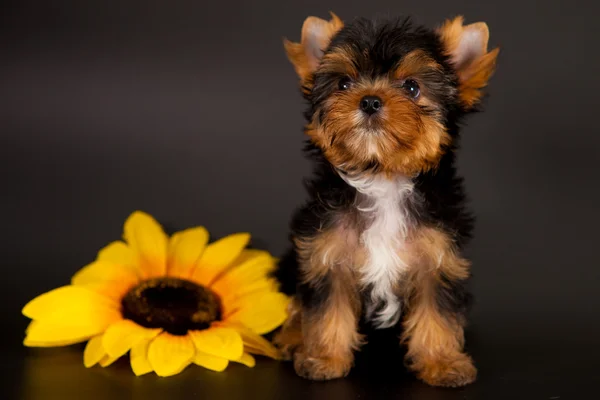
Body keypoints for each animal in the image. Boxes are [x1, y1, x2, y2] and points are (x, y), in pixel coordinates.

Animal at [274, 13, 500, 388]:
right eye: (344, 83)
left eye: (411, 87)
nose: (369, 100)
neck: (383, 177)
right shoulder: (327, 252)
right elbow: (327, 307)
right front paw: (324, 358)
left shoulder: (437, 256)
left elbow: (437, 310)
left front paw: (442, 363)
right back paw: (293, 338)